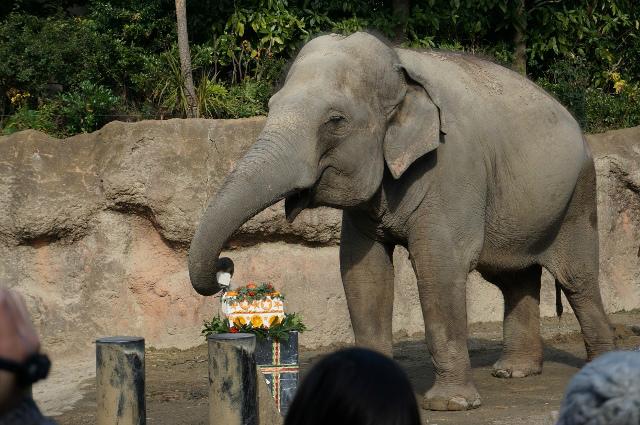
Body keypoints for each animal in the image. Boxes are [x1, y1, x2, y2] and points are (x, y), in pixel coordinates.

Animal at [190, 33, 616, 410]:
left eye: (335, 120)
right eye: (272, 104)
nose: (227, 265)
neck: (399, 66)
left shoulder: (451, 168)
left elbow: (438, 268)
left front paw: (450, 405)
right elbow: (363, 272)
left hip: (578, 196)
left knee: (577, 280)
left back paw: (598, 369)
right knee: (513, 277)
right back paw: (513, 372)